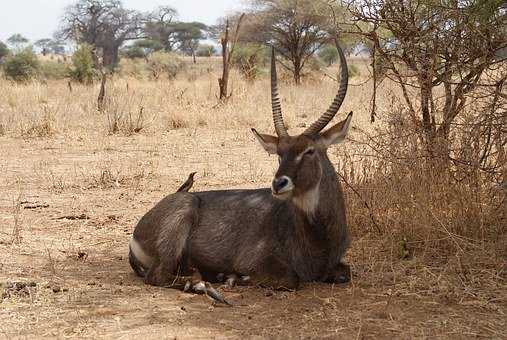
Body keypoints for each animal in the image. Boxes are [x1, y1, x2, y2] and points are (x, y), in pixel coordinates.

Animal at [129, 42, 356, 298]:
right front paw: (232, 278)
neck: (319, 236)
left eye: (309, 151)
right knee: (157, 276)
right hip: (184, 211)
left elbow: (345, 273)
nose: (278, 184)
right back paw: (201, 282)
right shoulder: (257, 262)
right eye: (279, 154)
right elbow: (291, 279)